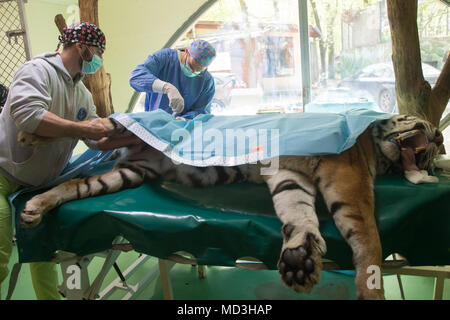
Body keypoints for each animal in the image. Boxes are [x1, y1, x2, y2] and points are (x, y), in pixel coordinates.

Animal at [17, 114, 442, 298]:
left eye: (435, 149)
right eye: (426, 125)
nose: (437, 138)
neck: (375, 152)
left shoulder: (293, 176)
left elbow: (297, 213)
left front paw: (299, 259)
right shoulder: (347, 179)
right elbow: (369, 239)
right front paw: (371, 291)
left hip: (129, 173)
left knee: (76, 181)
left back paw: (35, 206)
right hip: (126, 128)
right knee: (91, 123)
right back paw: (26, 133)